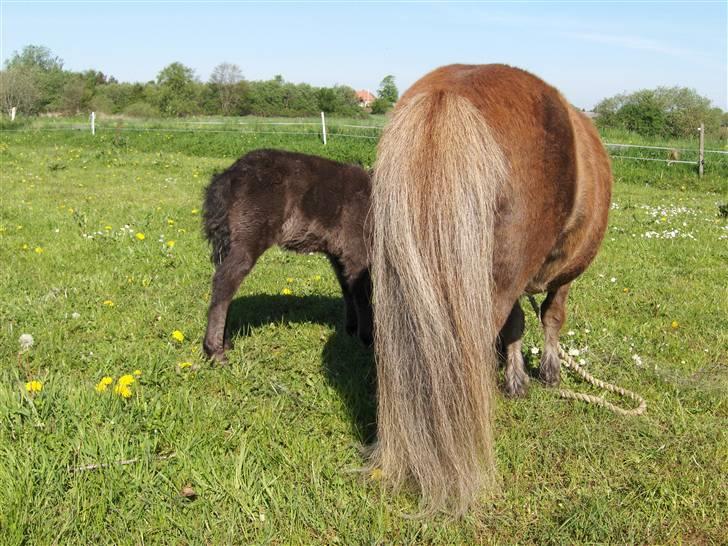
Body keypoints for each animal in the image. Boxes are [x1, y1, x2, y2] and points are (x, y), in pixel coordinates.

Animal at [370, 65, 616, 516]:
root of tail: (448, 94)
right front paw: (549, 372)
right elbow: (552, 316)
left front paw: (516, 378)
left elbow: (516, 326)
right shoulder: (560, 279)